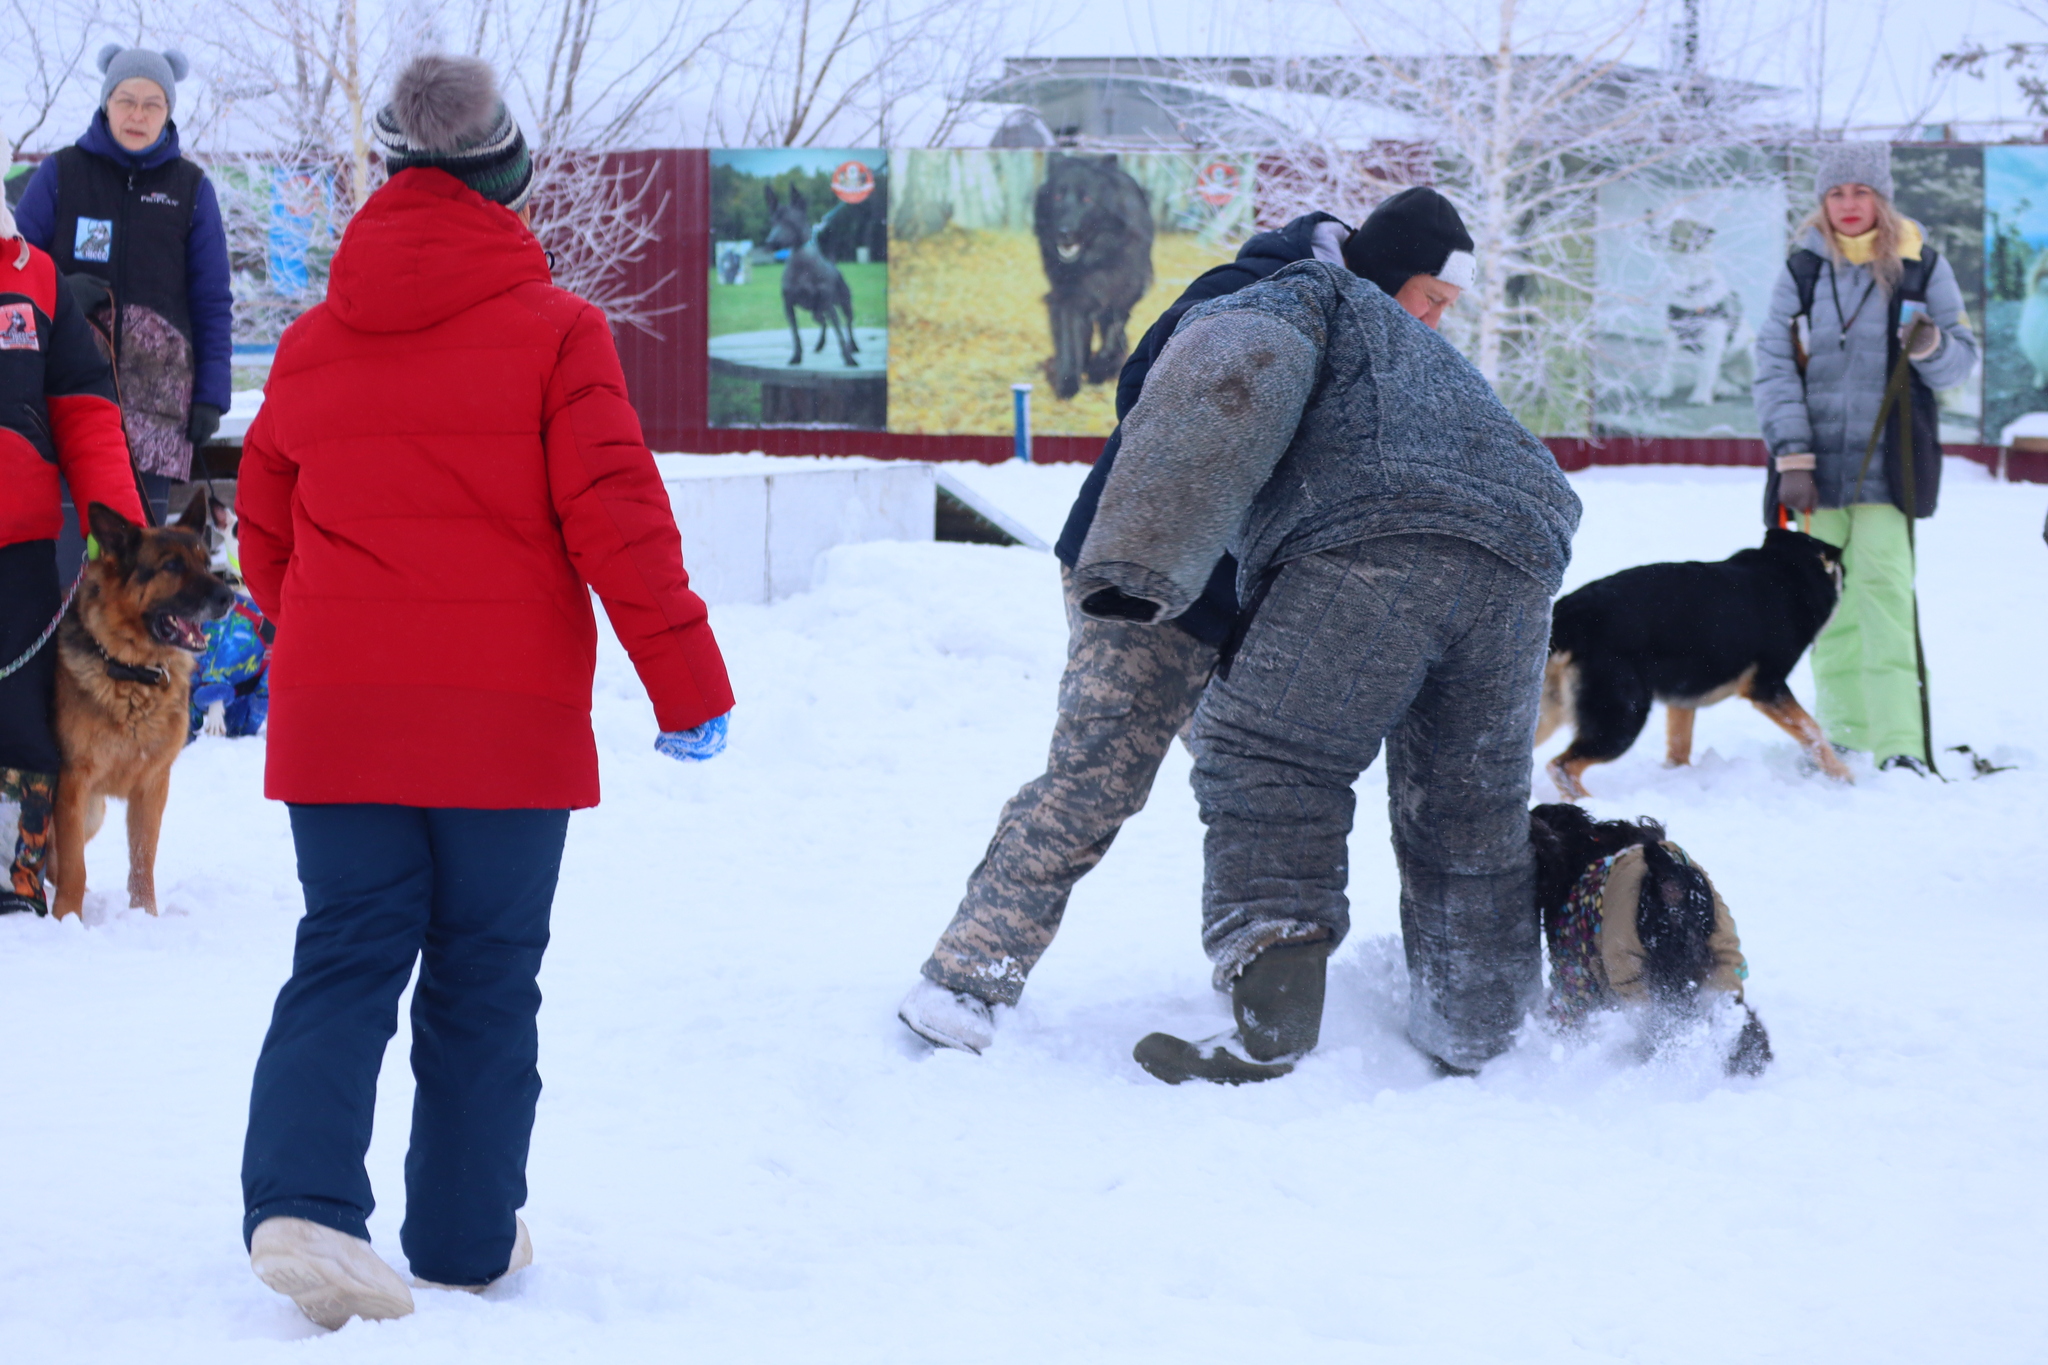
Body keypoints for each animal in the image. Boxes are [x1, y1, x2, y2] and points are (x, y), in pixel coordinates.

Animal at [48, 497, 231, 925]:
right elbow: (74, 865)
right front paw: (67, 920)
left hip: (94, 812)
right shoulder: (72, 785)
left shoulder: (152, 785)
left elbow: (143, 860)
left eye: (204, 560)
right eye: (172, 566)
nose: (230, 596)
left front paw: (145, 917)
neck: (131, 672)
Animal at [770, 187, 864, 370]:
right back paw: (820, 344)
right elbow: (795, 334)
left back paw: (854, 346)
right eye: (772, 222)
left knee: (848, 325)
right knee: (823, 322)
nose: (770, 242)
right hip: (816, 311)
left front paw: (849, 359)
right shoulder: (788, 306)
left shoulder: (828, 304)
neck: (801, 265)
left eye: (790, 222)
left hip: (844, 305)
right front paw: (796, 357)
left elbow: (840, 333)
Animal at [1032, 154, 1163, 403]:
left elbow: (1112, 335)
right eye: (1057, 196)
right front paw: (1068, 384)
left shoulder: (1122, 292)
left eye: (1087, 198)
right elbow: (1070, 337)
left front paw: (1099, 369)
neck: (1094, 259)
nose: (1063, 232)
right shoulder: (1067, 297)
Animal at [1540, 527, 1859, 802]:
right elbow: (1812, 730)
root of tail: (1569, 614)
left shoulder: (1683, 698)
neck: (1789, 570)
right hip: (1623, 716)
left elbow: (1679, 747)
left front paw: (1680, 777)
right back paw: (1593, 806)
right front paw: (1842, 775)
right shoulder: (1767, 687)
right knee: (1561, 767)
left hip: (1547, 708)